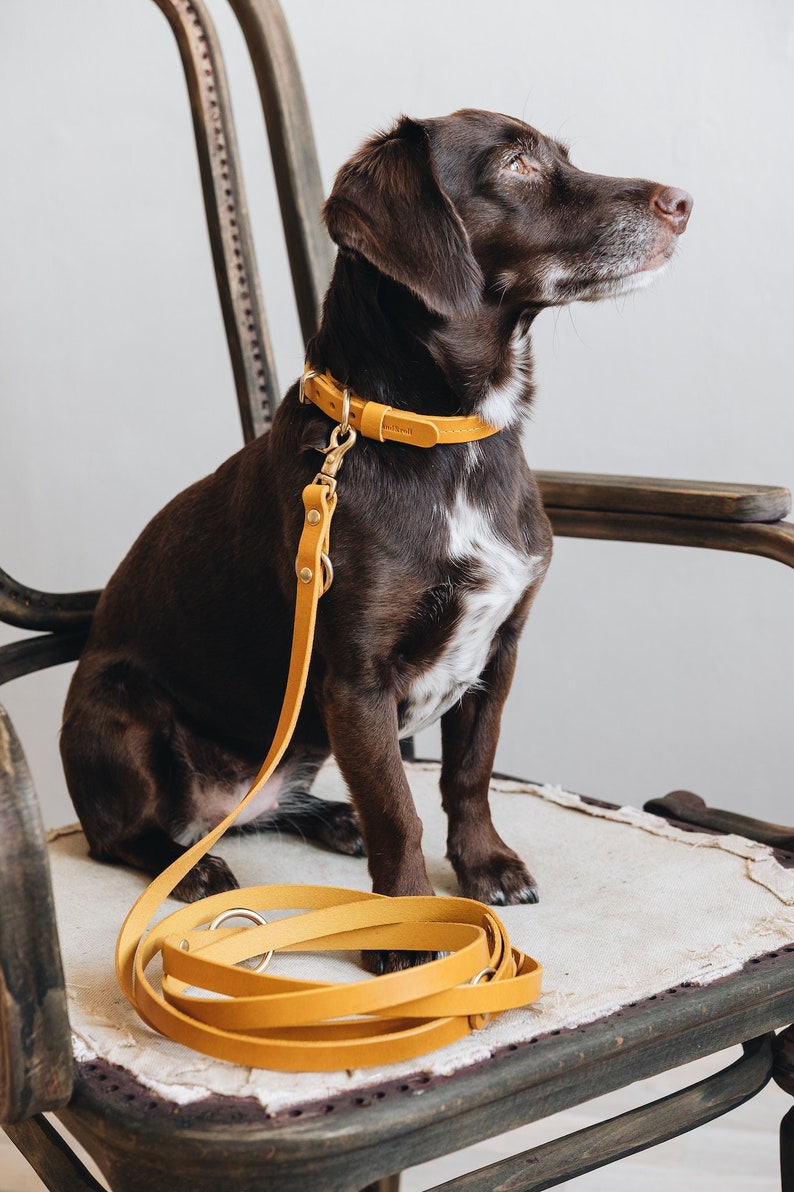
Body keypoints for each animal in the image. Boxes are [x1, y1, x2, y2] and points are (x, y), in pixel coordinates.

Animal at [60, 107, 686, 953]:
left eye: (562, 155)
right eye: (516, 164)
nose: (683, 203)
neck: (450, 439)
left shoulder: (500, 649)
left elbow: (467, 775)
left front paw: (485, 866)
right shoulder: (356, 682)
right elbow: (398, 811)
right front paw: (405, 931)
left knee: (263, 812)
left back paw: (330, 818)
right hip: (122, 712)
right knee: (125, 835)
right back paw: (190, 865)